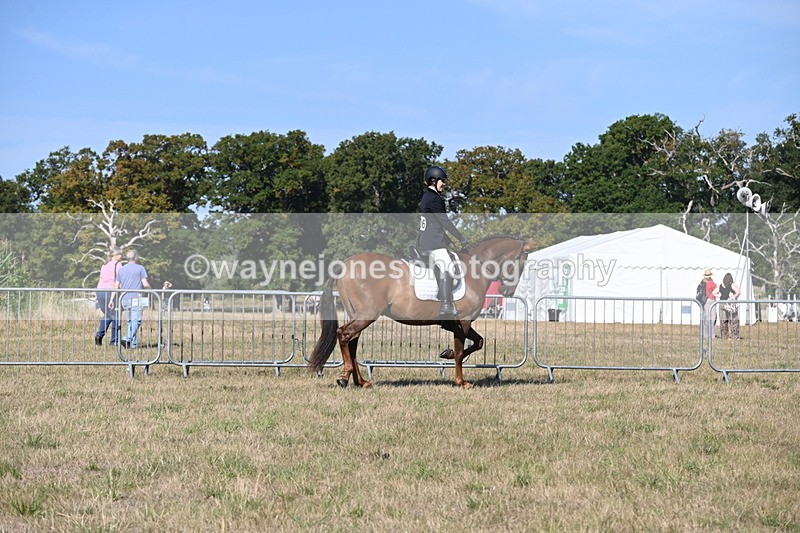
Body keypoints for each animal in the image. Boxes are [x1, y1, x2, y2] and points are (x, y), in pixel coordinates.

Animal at [307, 236, 536, 388]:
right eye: (522, 262)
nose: (507, 292)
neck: (476, 269)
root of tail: (345, 264)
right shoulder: (463, 321)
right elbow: (461, 351)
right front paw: (461, 382)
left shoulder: (460, 323)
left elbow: (478, 342)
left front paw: (446, 354)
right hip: (366, 315)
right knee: (344, 335)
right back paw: (344, 377)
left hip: (360, 316)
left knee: (352, 341)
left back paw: (361, 381)